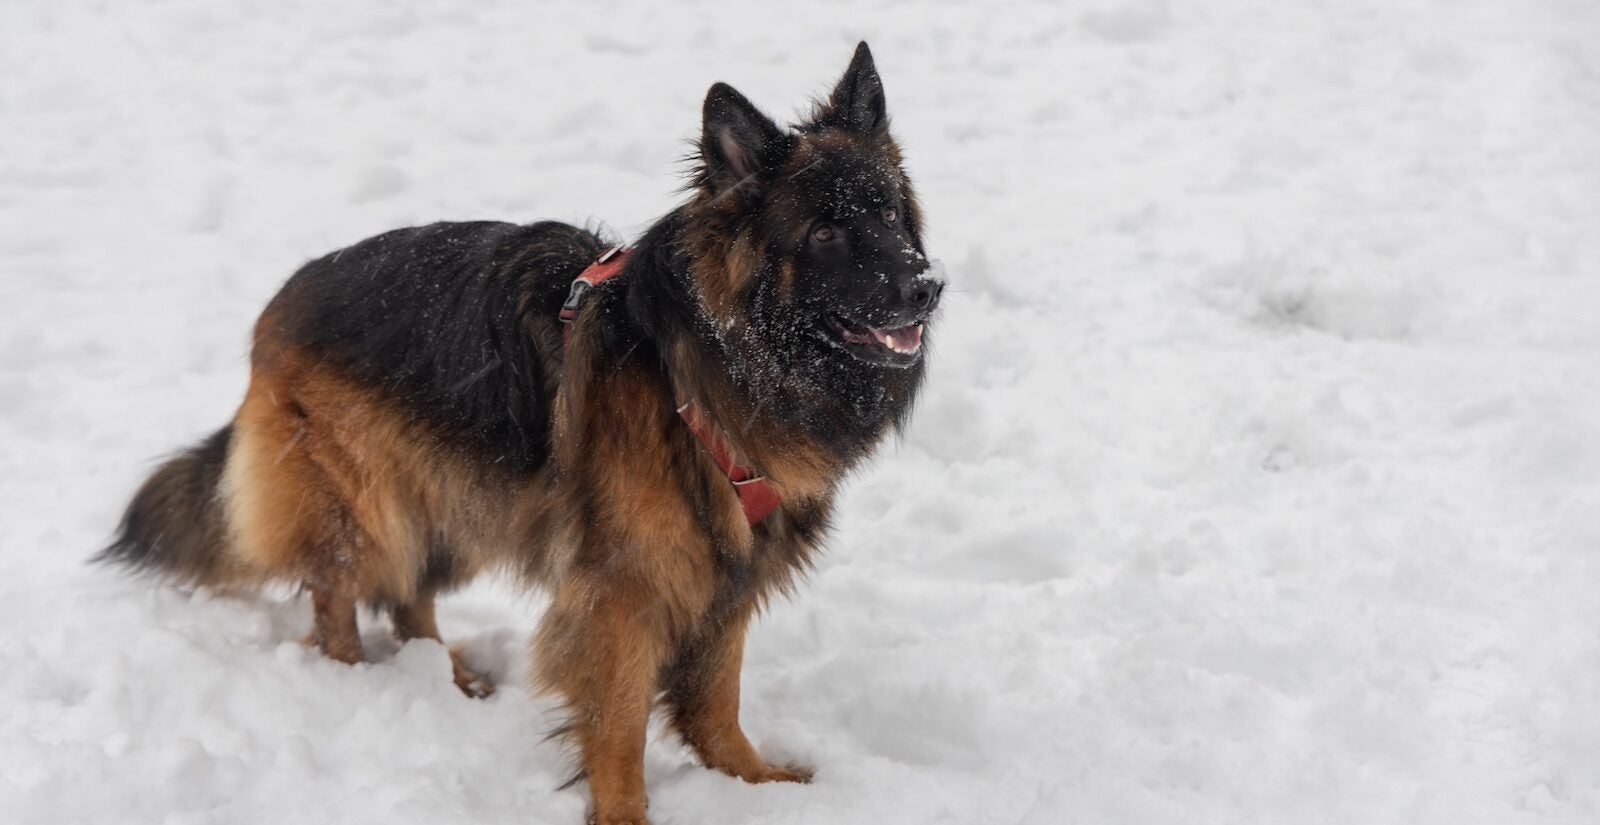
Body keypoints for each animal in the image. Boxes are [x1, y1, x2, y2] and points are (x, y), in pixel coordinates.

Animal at [100, 41, 940, 818]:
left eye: (889, 214)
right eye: (826, 233)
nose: (928, 285)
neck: (711, 361)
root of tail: (283, 300)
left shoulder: (728, 571)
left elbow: (717, 697)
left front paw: (752, 783)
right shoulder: (624, 589)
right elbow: (620, 724)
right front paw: (625, 813)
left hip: (454, 496)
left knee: (410, 598)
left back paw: (449, 679)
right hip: (374, 507)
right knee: (338, 592)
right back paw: (354, 678)